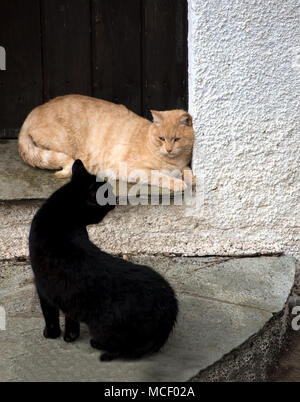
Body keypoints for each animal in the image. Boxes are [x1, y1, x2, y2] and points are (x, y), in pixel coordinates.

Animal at [19, 96, 196, 193]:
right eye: (161, 138)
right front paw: (179, 183)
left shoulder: (182, 165)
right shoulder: (133, 169)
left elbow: (186, 169)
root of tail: (33, 112)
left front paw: (191, 178)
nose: (169, 149)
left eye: (176, 139)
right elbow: (160, 176)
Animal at [28, 159, 178, 362]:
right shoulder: (64, 295)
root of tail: (169, 308)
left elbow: (50, 314)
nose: (116, 200)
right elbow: (68, 316)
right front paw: (70, 336)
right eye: (107, 194)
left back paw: (98, 346)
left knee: (122, 348)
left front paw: (52, 334)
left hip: (105, 327)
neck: (61, 217)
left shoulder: (42, 286)